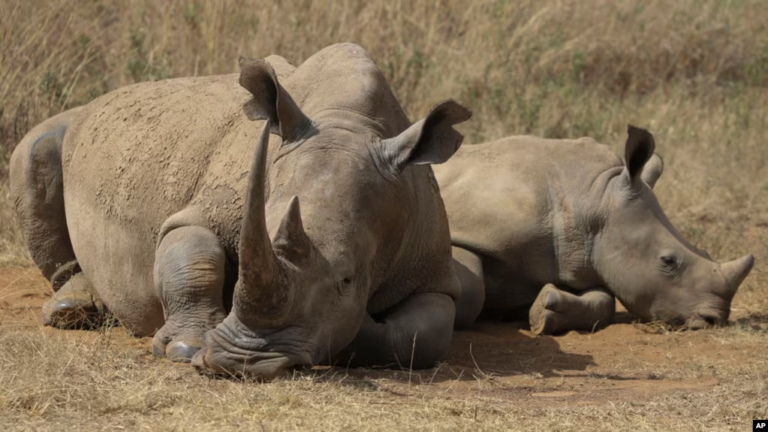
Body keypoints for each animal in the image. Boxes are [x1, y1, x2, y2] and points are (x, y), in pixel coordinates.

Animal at [10, 43, 472, 378]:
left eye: (347, 279)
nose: (241, 361)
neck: (349, 123)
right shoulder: (202, 212)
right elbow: (193, 257)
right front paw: (186, 347)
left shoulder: (432, 271)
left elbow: (418, 338)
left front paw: (353, 334)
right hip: (74, 127)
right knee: (34, 150)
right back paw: (72, 310)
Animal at [434, 126, 754, 334]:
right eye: (668, 261)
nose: (714, 320)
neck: (592, 200)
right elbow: (473, 288)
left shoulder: (577, 259)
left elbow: (605, 301)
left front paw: (543, 310)